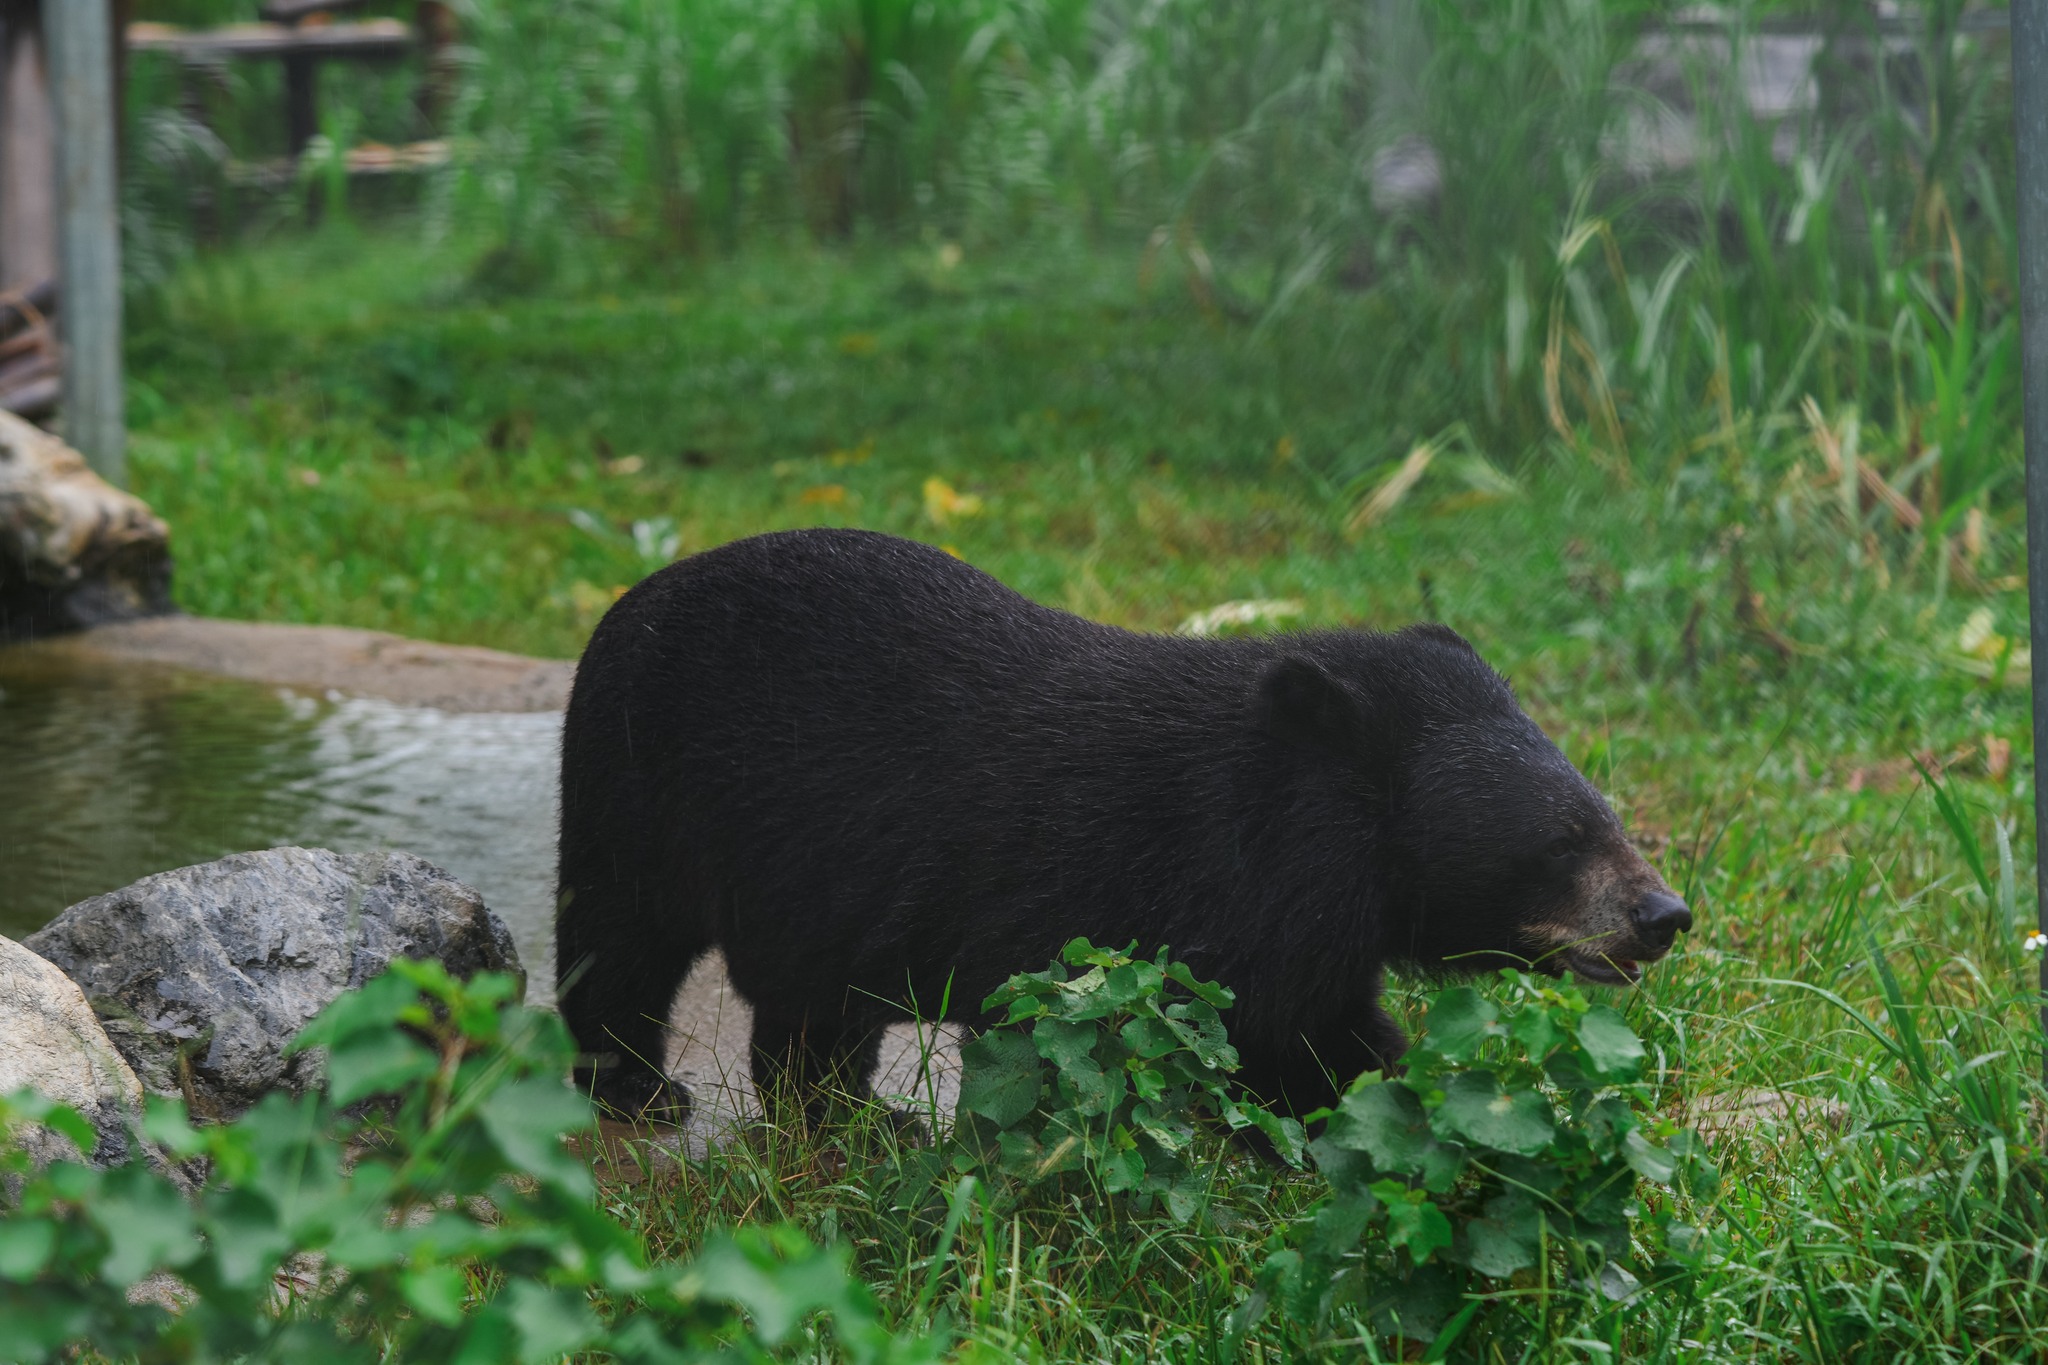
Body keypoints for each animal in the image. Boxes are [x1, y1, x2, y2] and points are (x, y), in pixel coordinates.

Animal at [552, 532, 1687, 1121]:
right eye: (1560, 842)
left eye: (1608, 815)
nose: (1664, 916)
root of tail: (627, 603)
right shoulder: (1147, 882)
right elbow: (1247, 1032)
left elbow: (1320, 1025)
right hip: (641, 788)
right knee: (621, 940)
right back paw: (642, 1089)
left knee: (811, 1005)